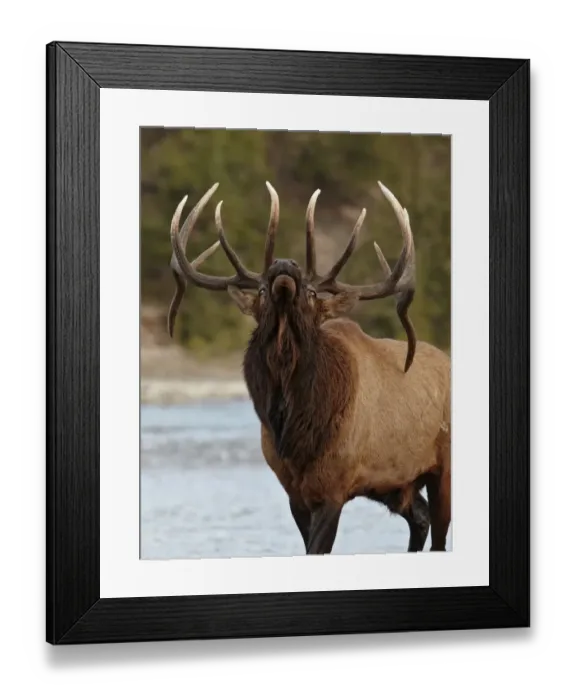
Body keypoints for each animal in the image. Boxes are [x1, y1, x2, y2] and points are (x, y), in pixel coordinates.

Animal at [167, 181, 451, 555]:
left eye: (313, 293)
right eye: (260, 290)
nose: (285, 266)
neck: (297, 434)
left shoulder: (334, 487)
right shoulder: (295, 494)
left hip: (442, 469)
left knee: (439, 534)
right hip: (395, 484)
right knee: (420, 518)